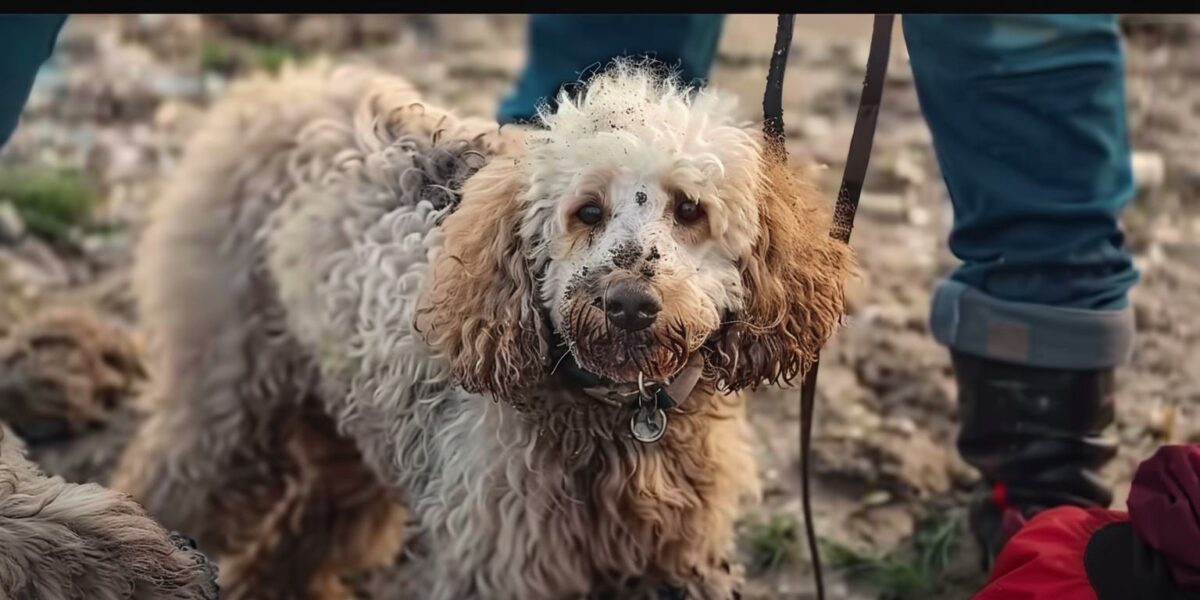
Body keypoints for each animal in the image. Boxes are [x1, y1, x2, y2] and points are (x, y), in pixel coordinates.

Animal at [110, 57, 854, 600]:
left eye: (690, 209)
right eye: (587, 211)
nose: (629, 303)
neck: (620, 417)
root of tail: (282, 87)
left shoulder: (675, 558)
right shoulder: (503, 561)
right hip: (228, 394)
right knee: (178, 480)